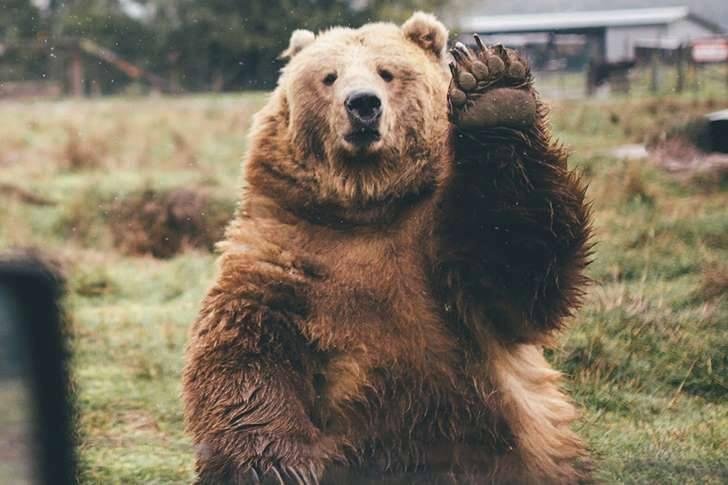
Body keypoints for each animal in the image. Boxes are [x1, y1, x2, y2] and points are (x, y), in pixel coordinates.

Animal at [183, 11, 592, 485]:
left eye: (386, 71)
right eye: (329, 76)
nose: (362, 104)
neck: (367, 205)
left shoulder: (444, 257)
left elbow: (516, 266)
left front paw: (494, 92)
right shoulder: (287, 249)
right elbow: (247, 348)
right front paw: (274, 465)